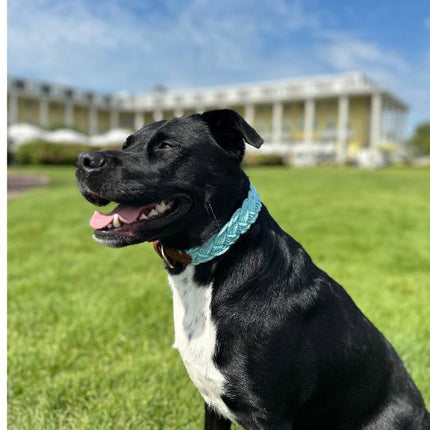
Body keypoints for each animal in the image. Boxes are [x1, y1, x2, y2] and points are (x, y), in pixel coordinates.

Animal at [75, 109, 428, 428]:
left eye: (166, 146)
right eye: (127, 143)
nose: (83, 160)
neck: (214, 266)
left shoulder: (269, 416)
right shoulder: (213, 405)